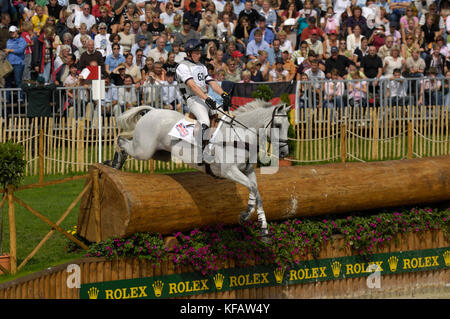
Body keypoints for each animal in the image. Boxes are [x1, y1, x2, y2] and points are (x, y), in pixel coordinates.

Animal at [105, 100, 290, 240]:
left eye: (288, 125)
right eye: (278, 125)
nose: (284, 153)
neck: (240, 135)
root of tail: (153, 111)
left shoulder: (248, 171)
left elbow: (257, 192)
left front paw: (264, 229)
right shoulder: (229, 171)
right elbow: (252, 189)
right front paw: (245, 215)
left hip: (160, 153)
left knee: (126, 140)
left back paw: (115, 163)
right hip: (143, 150)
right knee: (121, 140)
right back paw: (114, 162)